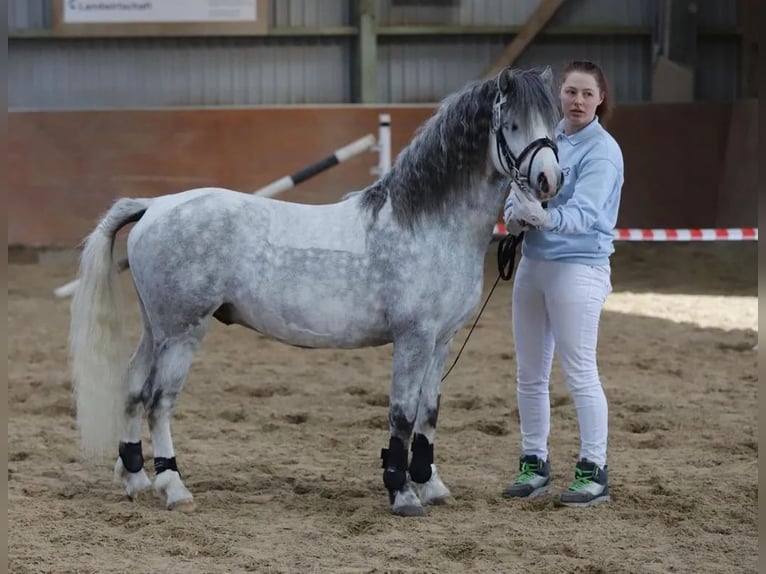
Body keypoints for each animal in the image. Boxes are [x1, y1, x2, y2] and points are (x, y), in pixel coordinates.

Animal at [70, 65, 564, 520]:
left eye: (556, 122)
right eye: (512, 124)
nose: (549, 181)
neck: (427, 225)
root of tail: (154, 206)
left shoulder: (441, 340)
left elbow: (429, 412)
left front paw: (432, 486)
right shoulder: (414, 338)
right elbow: (403, 414)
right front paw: (403, 495)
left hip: (157, 329)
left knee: (134, 386)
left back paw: (135, 479)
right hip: (182, 332)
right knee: (159, 402)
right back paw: (173, 487)